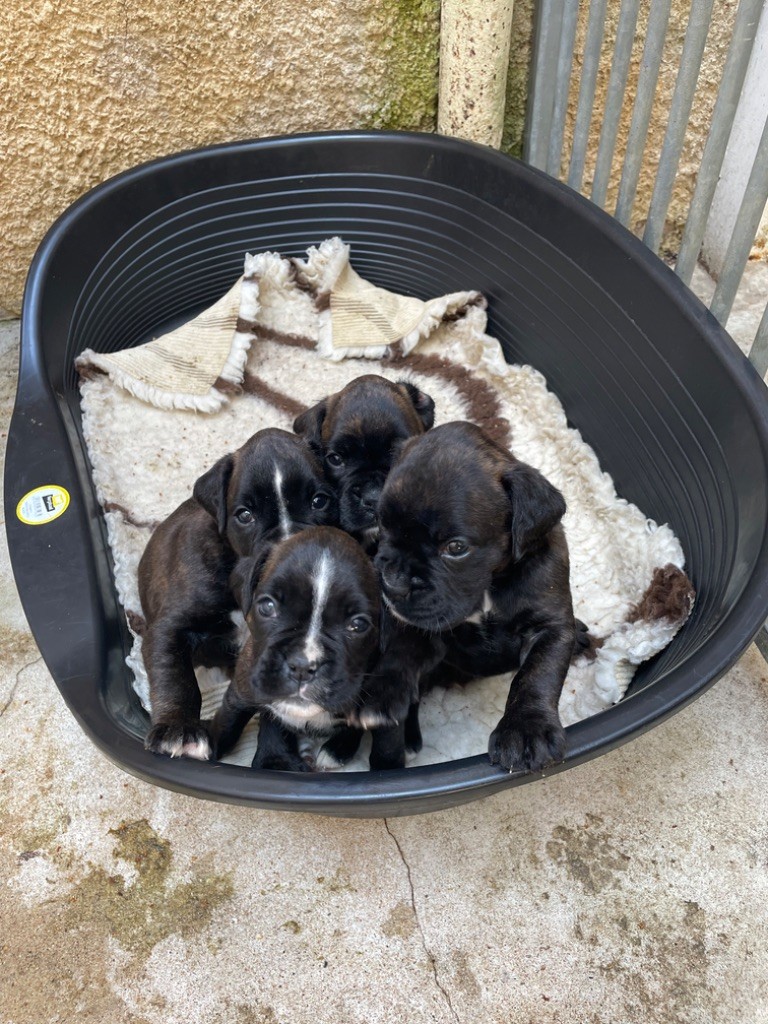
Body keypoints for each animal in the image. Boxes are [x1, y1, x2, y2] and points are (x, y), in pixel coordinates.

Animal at [140, 425, 337, 761]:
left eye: (319, 501)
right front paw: (178, 729)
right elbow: (175, 676)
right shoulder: (170, 628)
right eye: (244, 515)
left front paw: (276, 758)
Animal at [366, 419, 577, 770]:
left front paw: (526, 728)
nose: (393, 583)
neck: (490, 584)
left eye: (455, 548)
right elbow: (401, 651)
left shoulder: (550, 626)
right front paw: (384, 696)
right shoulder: (413, 625)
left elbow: (536, 674)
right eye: (382, 524)